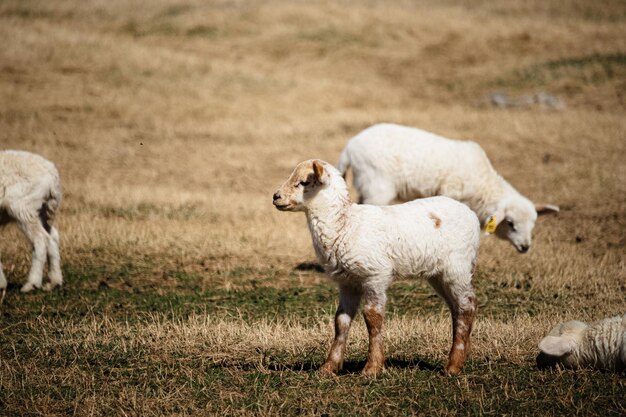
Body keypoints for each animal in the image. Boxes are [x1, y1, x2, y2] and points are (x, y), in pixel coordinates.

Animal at [0, 150, 62, 292]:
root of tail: (52, 174)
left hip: (22, 206)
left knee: (40, 239)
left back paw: (31, 284)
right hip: (42, 211)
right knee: (52, 236)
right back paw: (54, 282)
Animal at [270, 158, 480, 374]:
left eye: (304, 182)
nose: (276, 197)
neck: (344, 224)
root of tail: (471, 214)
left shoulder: (375, 275)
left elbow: (372, 317)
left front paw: (372, 367)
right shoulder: (348, 282)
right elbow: (341, 320)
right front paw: (329, 366)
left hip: (458, 266)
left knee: (467, 306)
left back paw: (453, 366)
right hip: (438, 274)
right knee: (456, 308)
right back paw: (461, 356)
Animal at [338, 122, 560, 254]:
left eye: (533, 224)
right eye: (510, 223)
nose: (525, 247)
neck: (484, 186)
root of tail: (349, 147)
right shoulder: (450, 193)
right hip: (377, 184)